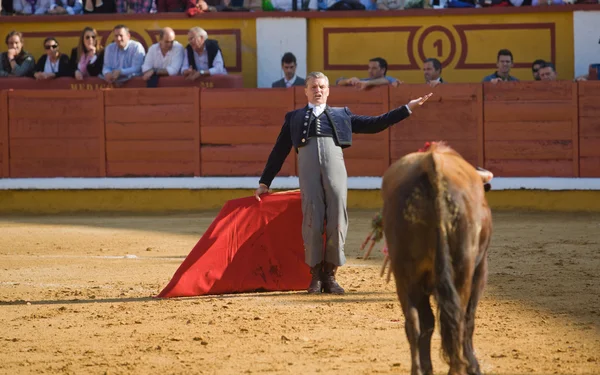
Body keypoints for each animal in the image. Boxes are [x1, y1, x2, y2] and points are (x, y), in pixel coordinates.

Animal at [382, 142, 494, 375]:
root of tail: (431, 164)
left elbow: (427, 323)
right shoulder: (481, 269)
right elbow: (469, 317)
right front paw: (473, 365)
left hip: (403, 271)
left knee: (414, 322)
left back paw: (418, 370)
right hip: (463, 266)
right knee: (456, 319)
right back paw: (457, 368)